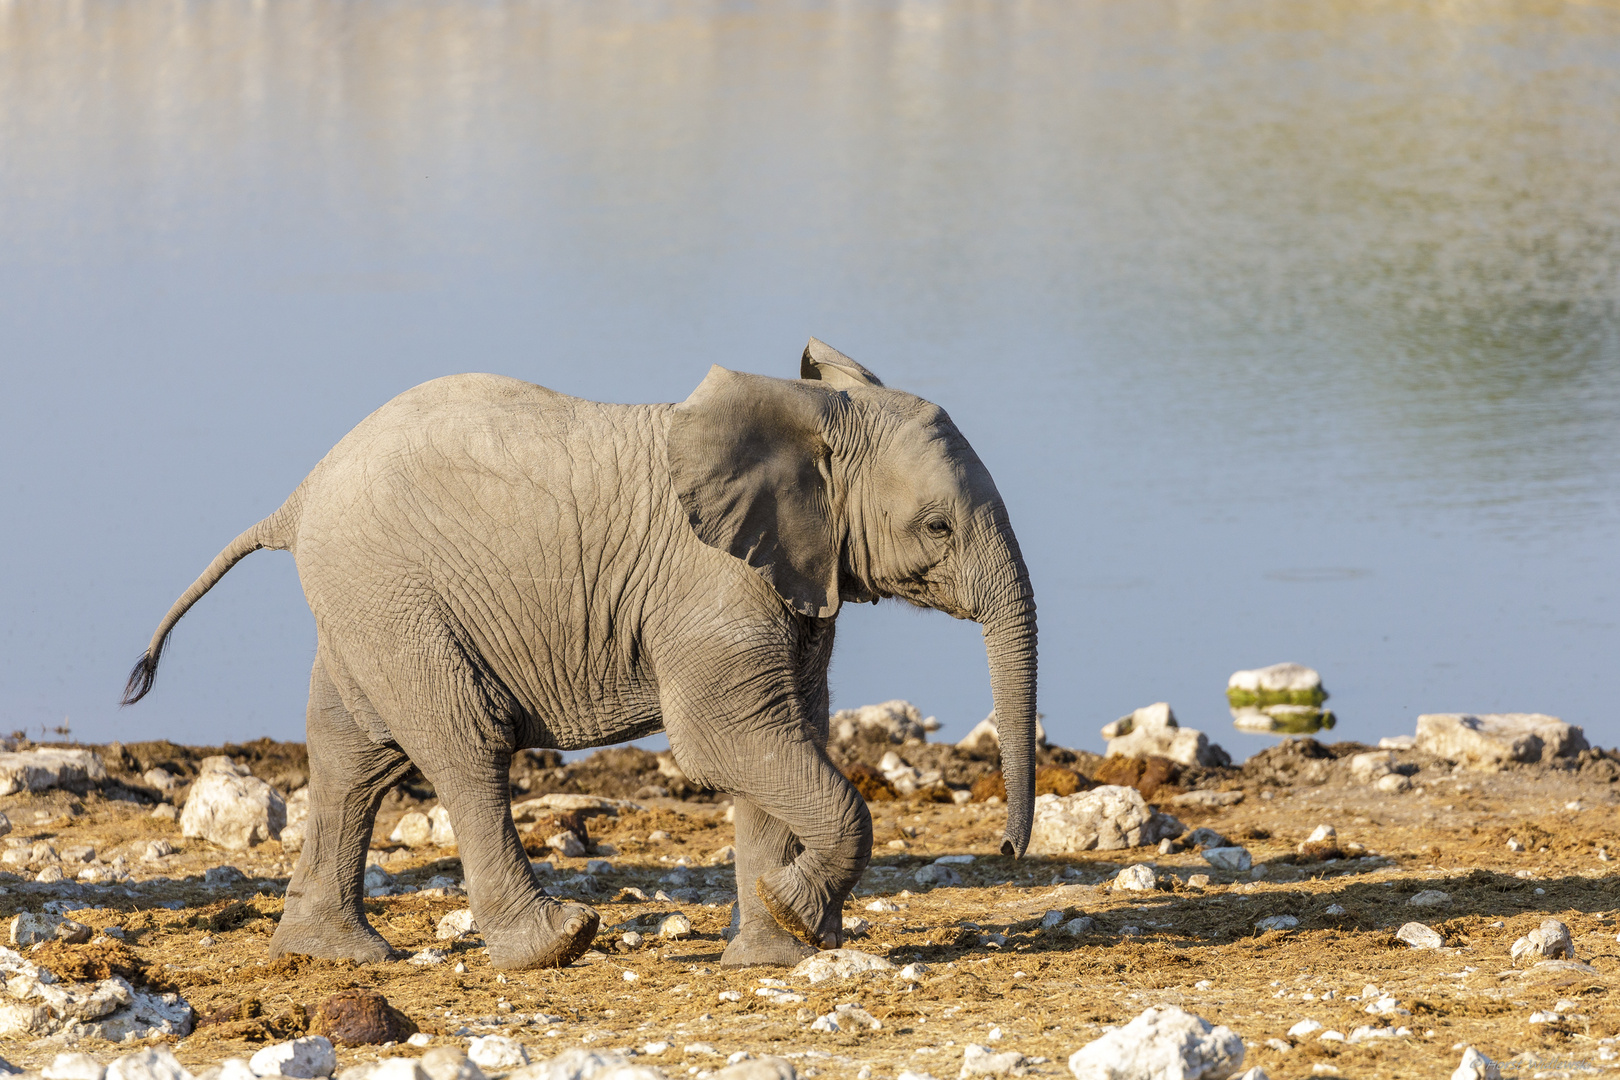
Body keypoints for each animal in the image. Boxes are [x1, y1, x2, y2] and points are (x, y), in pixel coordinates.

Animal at [123, 341, 1036, 977]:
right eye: (938, 528)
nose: (1005, 852)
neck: (807, 411)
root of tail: (299, 493)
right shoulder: (713, 587)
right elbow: (724, 741)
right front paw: (797, 913)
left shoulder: (792, 580)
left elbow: (787, 737)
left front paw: (780, 948)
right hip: (393, 595)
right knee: (465, 748)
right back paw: (554, 944)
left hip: (366, 604)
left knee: (351, 754)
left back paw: (332, 954)